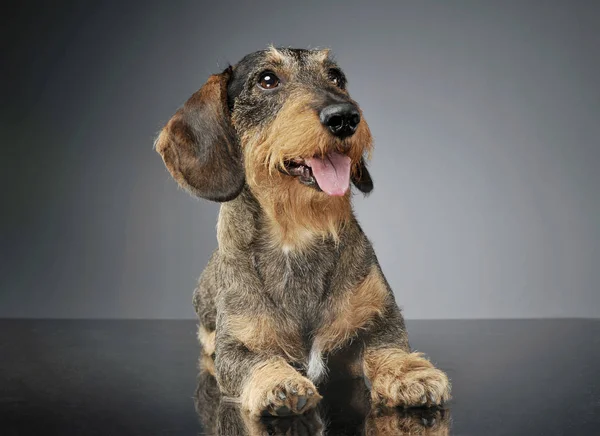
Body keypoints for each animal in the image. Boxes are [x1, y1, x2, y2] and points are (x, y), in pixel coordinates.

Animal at [155, 46, 450, 418]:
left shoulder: (381, 318)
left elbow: (387, 347)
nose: (345, 117)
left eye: (336, 77)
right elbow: (252, 361)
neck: (296, 234)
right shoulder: (235, 344)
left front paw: (410, 374)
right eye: (267, 79)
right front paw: (278, 383)